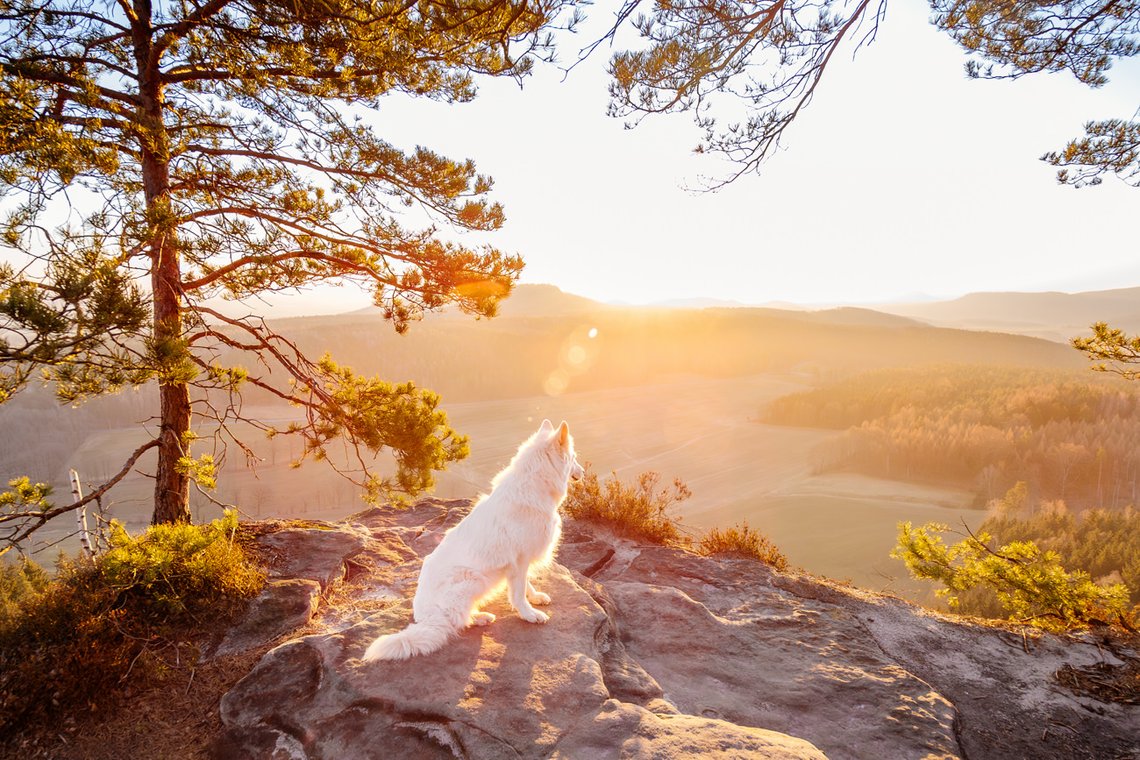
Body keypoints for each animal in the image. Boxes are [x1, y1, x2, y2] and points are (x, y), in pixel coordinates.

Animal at [362, 419, 583, 660]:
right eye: (574, 457)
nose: (583, 472)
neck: (534, 486)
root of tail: (427, 618)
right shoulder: (520, 560)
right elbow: (517, 593)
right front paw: (529, 614)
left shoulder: (518, 563)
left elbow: (526, 585)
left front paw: (534, 598)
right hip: (473, 579)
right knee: (457, 621)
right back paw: (479, 617)